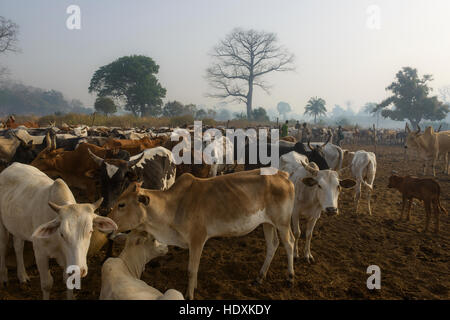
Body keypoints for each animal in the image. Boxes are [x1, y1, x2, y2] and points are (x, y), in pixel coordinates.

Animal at [0, 164, 118, 298]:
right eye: (62, 233)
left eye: (90, 231)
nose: (80, 270)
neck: (59, 244)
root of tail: (12, 165)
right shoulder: (40, 253)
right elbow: (47, 284)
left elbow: (69, 280)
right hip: (2, 226)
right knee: (3, 246)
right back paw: (4, 277)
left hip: (17, 227)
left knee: (18, 246)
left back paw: (22, 276)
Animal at [108, 170, 296, 300]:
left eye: (122, 204)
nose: (109, 224)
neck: (174, 206)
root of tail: (283, 174)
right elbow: (196, 269)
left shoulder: (197, 239)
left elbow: (191, 270)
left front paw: (189, 295)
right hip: (267, 223)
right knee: (273, 244)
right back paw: (259, 277)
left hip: (282, 222)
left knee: (290, 243)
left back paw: (290, 278)